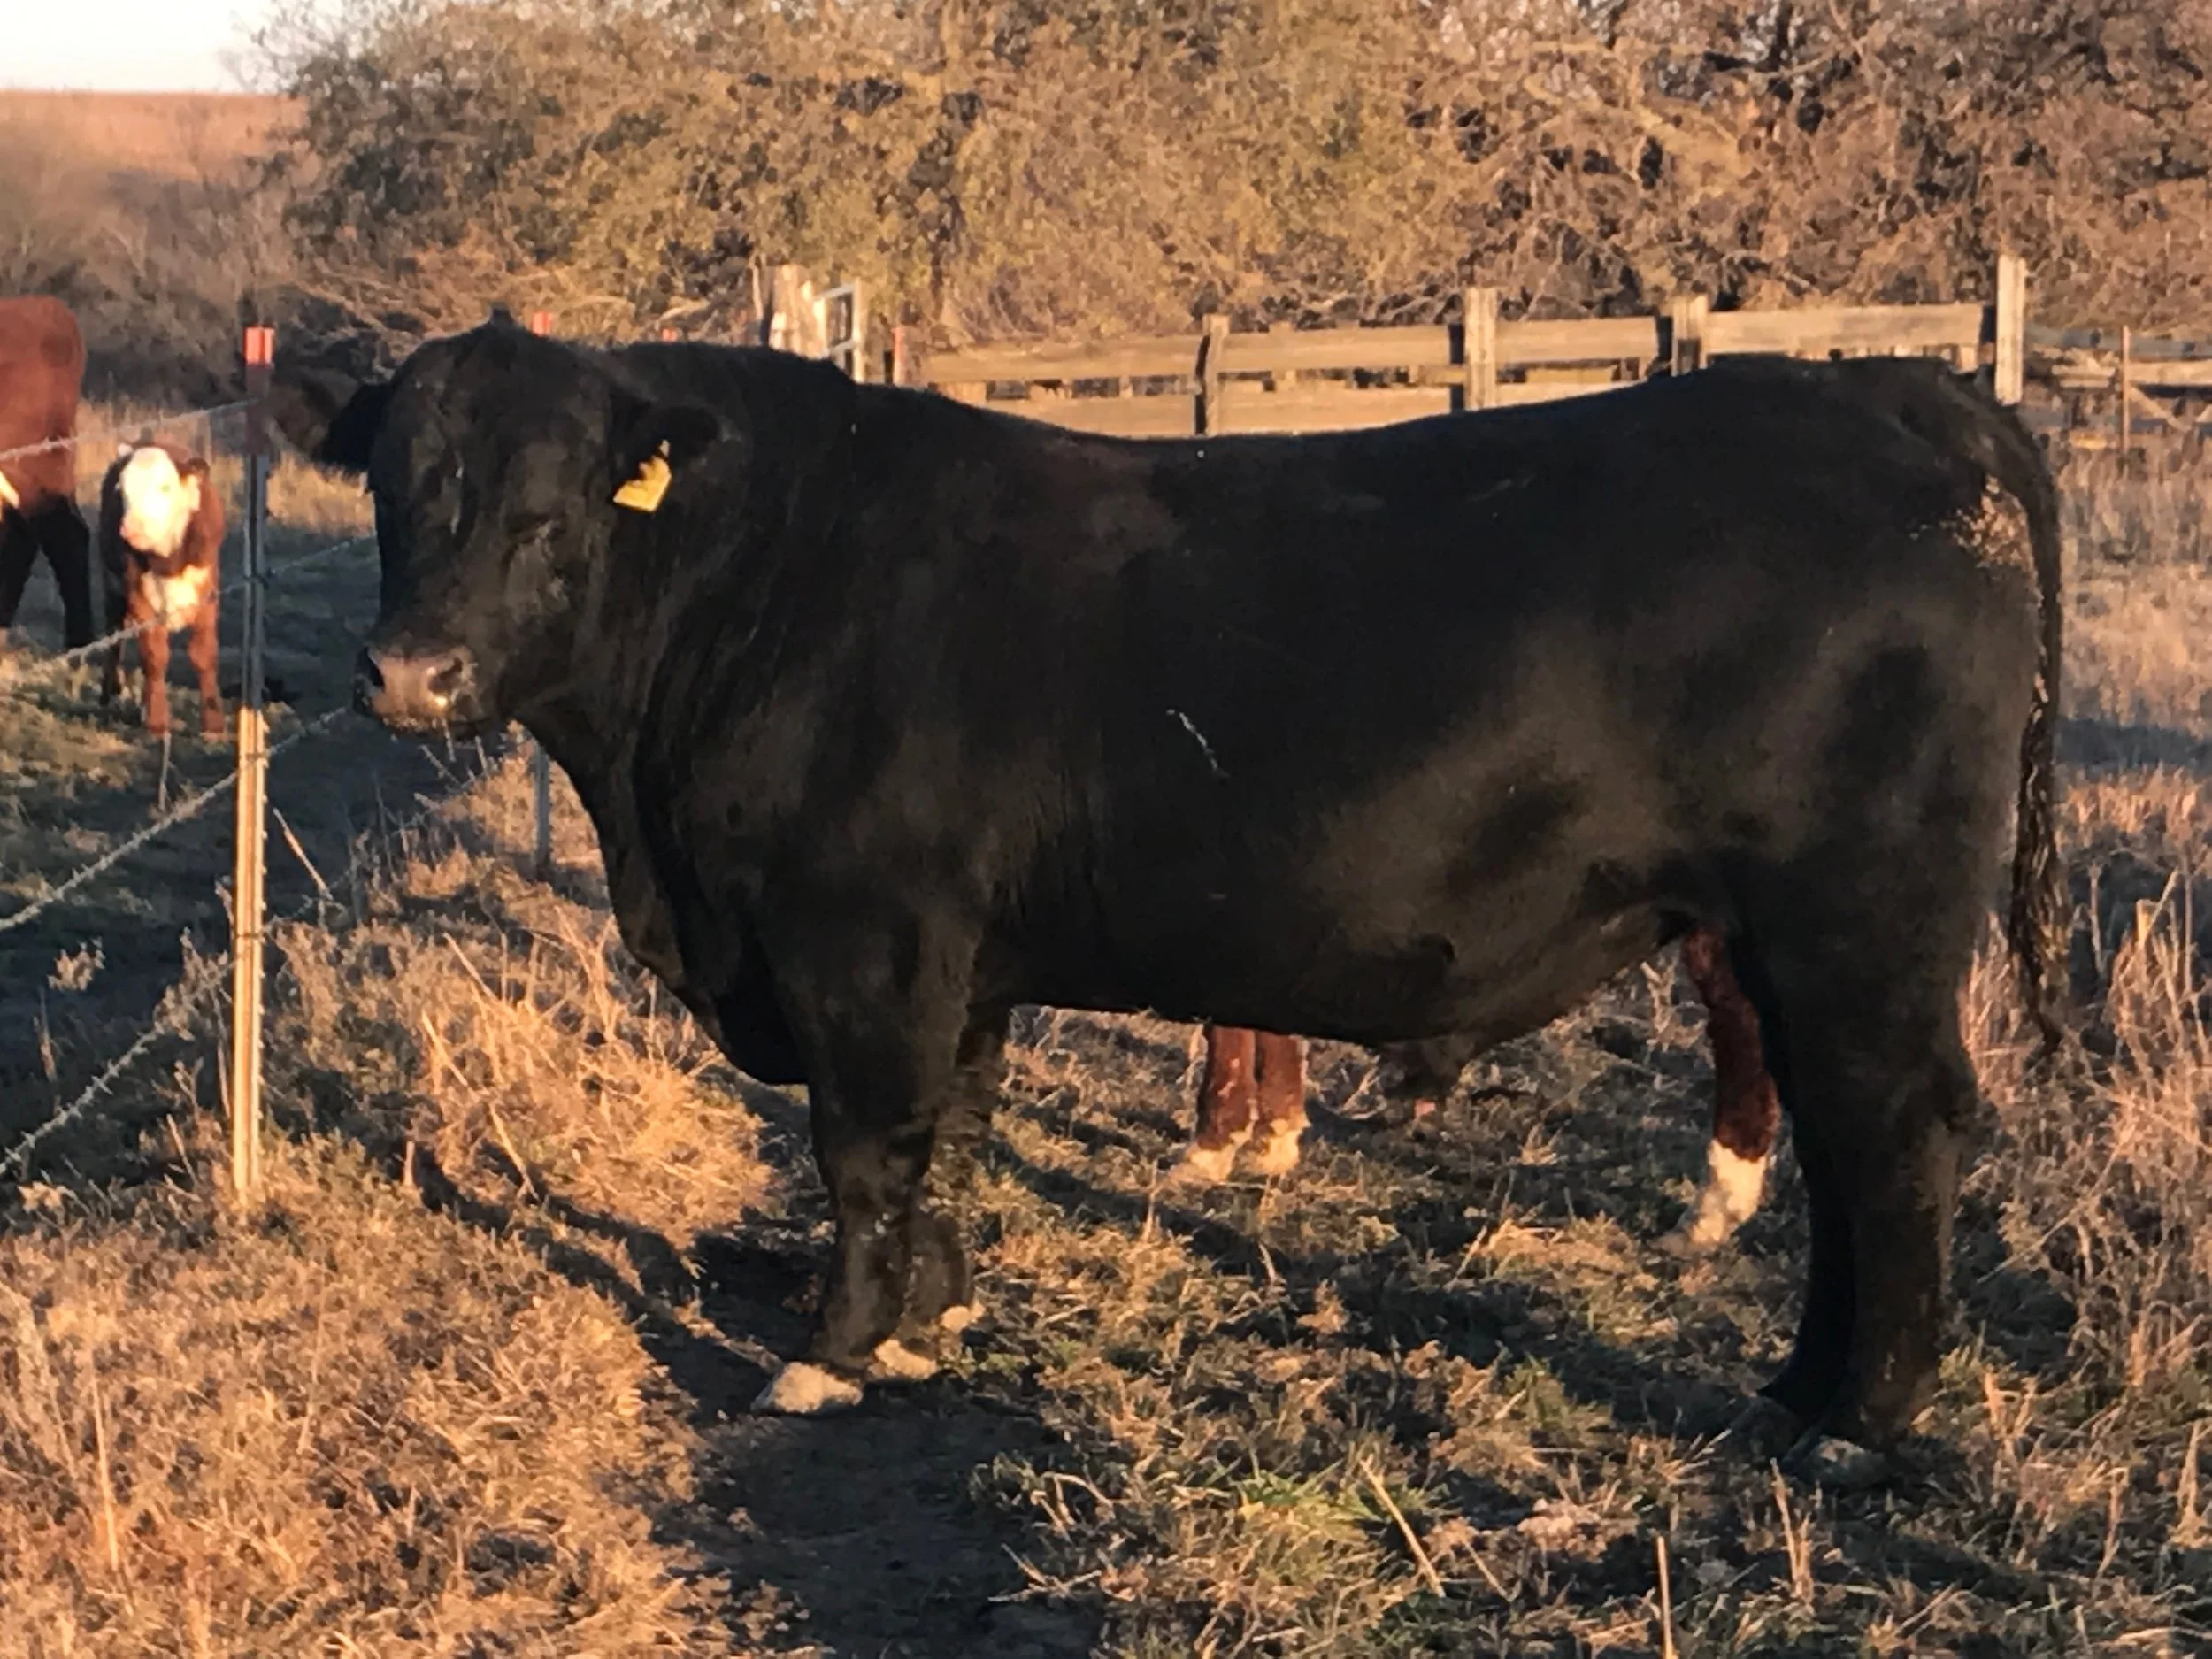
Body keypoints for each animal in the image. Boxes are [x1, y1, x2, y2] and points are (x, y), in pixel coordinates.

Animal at [95, 441, 226, 738]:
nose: (131, 529)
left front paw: (214, 724)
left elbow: (204, 654)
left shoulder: (207, 595)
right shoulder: (138, 599)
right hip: (112, 591)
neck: (168, 561)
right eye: (122, 489)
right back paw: (110, 695)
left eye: (165, 487)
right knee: (114, 640)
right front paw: (156, 722)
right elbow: (154, 657)